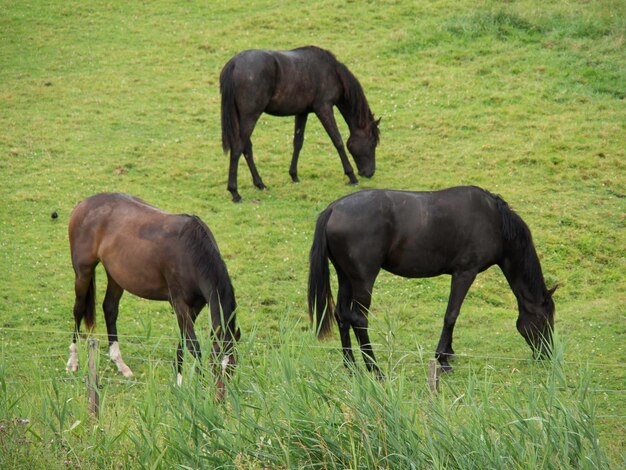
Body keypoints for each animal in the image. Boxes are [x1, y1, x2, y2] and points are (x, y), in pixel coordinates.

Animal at [64, 193, 238, 394]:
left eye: (233, 368)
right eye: (216, 366)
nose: (221, 396)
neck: (192, 251)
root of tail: (83, 204)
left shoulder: (195, 306)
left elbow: (183, 340)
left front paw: (178, 380)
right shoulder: (180, 304)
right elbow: (193, 345)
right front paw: (199, 386)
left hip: (116, 276)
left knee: (110, 309)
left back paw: (120, 363)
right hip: (83, 272)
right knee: (78, 309)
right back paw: (73, 361)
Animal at [219, 46, 378, 202]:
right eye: (373, 143)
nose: (369, 173)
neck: (332, 71)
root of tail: (234, 63)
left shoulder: (302, 112)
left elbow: (298, 143)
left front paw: (294, 175)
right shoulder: (324, 108)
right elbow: (337, 141)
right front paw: (351, 176)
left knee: (247, 148)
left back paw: (260, 183)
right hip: (250, 116)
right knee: (238, 148)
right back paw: (235, 192)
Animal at [308, 186, 556, 374]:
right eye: (545, 320)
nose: (548, 354)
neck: (494, 220)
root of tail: (333, 208)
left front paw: (449, 353)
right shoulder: (465, 273)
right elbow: (451, 314)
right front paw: (442, 359)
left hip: (345, 278)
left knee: (342, 314)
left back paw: (351, 366)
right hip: (363, 281)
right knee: (359, 319)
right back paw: (375, 368)